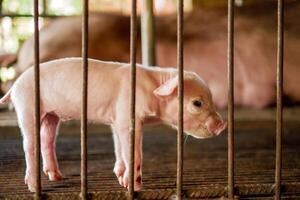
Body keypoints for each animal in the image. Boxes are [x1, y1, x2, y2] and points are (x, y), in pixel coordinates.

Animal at [0, 57, 225, 191]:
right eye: (197, 103)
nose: (222, 125)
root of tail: (15, 85)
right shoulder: (127, 117)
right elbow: (134, 153)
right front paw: (134, 186)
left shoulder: (116, 119)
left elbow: (119, 148)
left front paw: (119, 175)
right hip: (28, 106)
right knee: (29, 145)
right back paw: (34, 186)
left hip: (51, 115)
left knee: (47, 140)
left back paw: (57, 177)